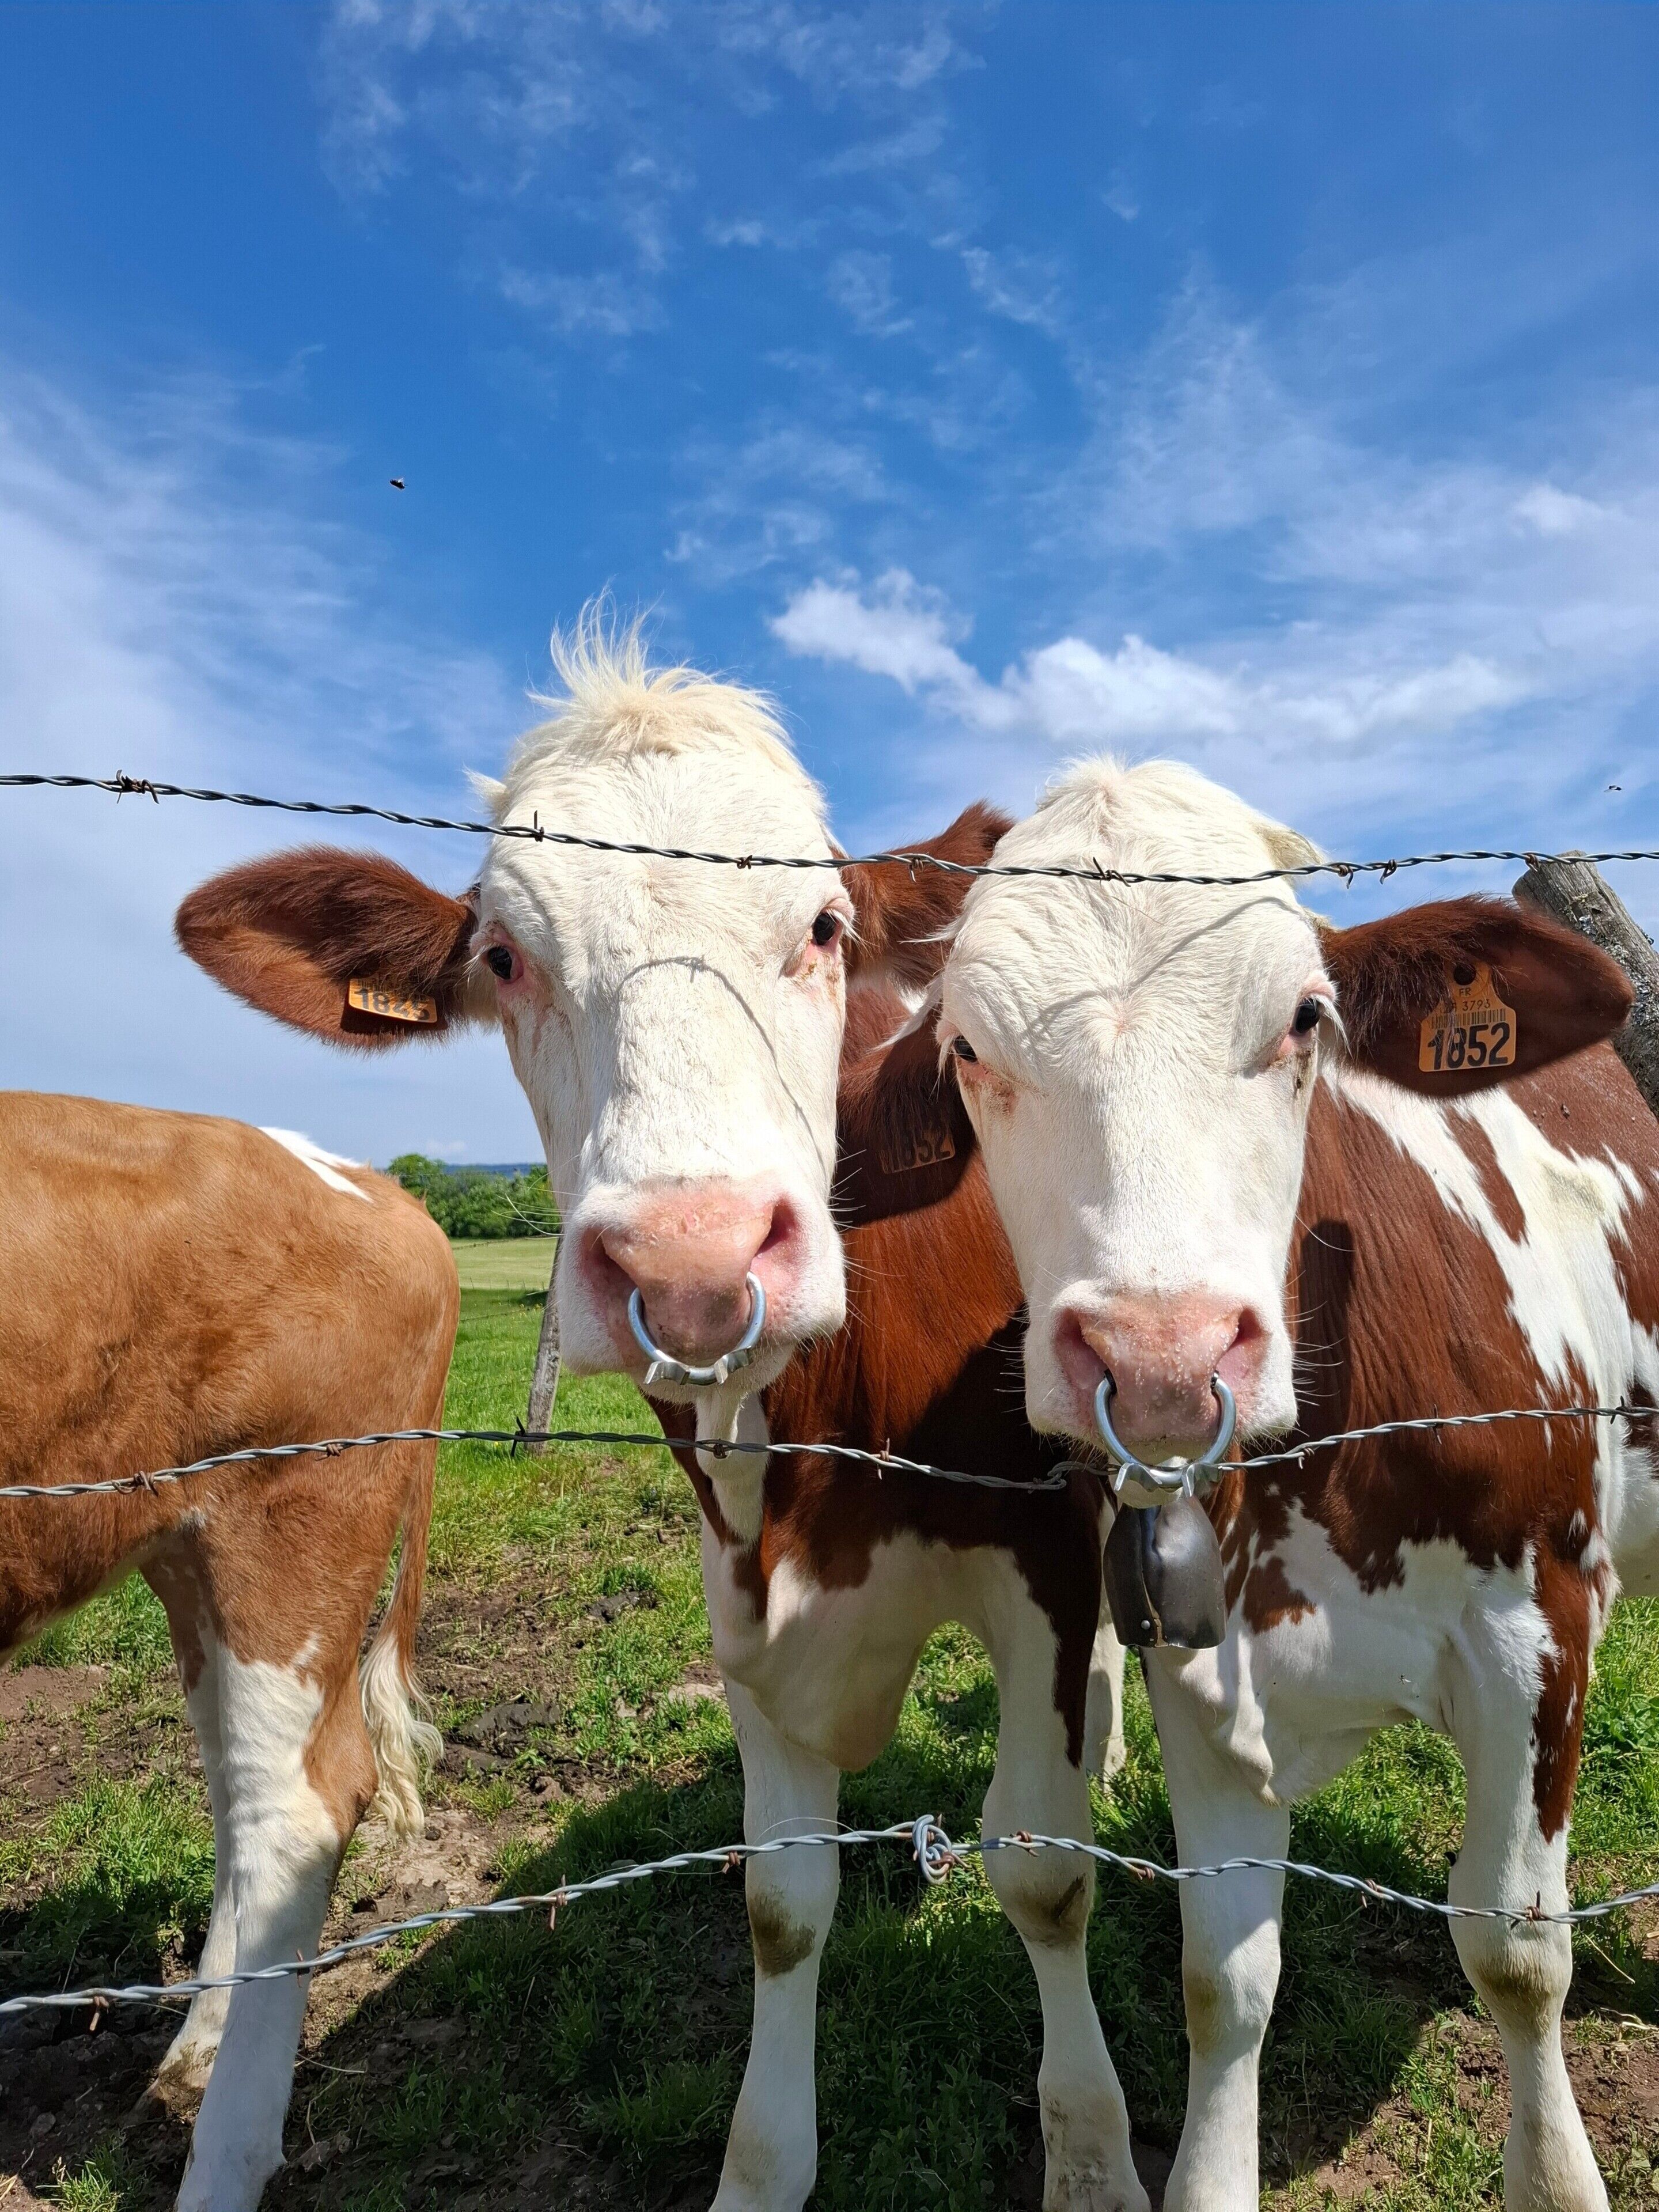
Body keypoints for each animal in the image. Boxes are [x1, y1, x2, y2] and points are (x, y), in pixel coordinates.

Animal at [1, 1093, 458, 2212]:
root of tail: (375, 1185)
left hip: (288, 1519)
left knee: (296, 1808)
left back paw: (222, 2161)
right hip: (186, 1550)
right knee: (236, 1793)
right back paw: (193, 2051)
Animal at [176, 624, 1144, 2212]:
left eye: (824, 925)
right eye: (503, 956)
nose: (693, 1259)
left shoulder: (1039, 1549)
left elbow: (1043, 1870)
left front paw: (1094, 2156)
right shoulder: (738, 1591)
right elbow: (783, 1902)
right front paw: (762, 2167)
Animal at [921, 755, 1652, 2212]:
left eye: (1306, 1016)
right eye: (967, 1047)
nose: (1162, 1357)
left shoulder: (1540, 1620)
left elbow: (1514, 1947)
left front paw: (1555, 2172)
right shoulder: (1192, 1661)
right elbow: (1224, 1977)